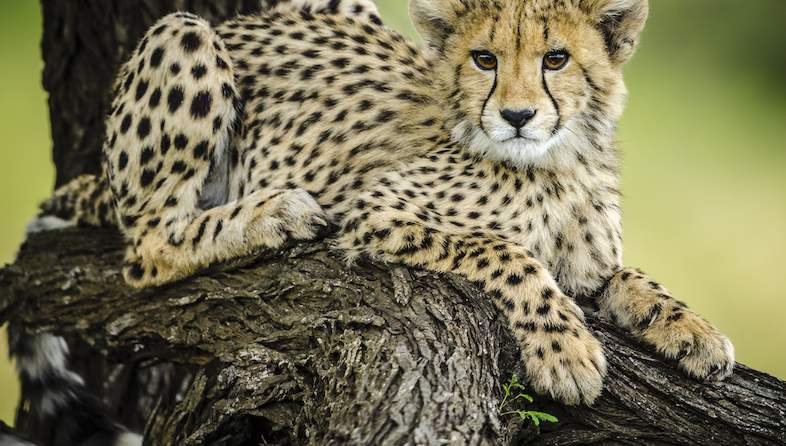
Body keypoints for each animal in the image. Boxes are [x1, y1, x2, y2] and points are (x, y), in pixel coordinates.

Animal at [15, 3, 735, 443]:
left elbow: (628, 275)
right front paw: (567, 353)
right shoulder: (375, 211)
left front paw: (693, 331)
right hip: (185, 36)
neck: (558, 160)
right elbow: (507, 252)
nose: (518, 116)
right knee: (145, 249)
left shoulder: (589, 262)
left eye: (555, 59)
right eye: (485, 60)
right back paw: (273, 214)